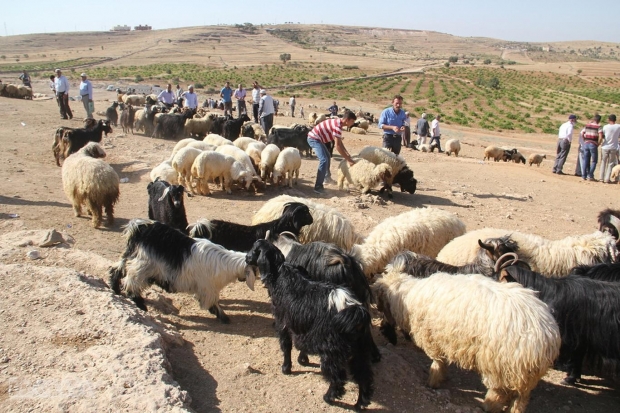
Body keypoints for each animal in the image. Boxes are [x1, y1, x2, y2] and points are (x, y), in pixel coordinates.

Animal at [108, 219, 257, 323]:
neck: (223, 263)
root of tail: (140, 227)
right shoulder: (208, 288)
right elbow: (212, 303)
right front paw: (224, 317)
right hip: (142, 266)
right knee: (131, 283)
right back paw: (140, 305)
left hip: (130, 256)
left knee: (116, 269)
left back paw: (115, 289)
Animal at [245, 240, 374, 411]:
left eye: (254, 250)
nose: (246, 258)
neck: (280, 274)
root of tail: (354, 309)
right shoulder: (302, 325)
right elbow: (301, 344)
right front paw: (303, 359)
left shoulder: (283, 322)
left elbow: (286, 345)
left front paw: (286, 368)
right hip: (360, 348)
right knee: (364, 375)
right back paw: (359, 404)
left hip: (332, 349)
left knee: (338, 378)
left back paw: (328, 397)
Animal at [373, 270, 560, 413]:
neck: (407, 297)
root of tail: (546, 337)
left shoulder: (432, 338)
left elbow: (438, 362)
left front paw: (433, 381)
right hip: (523, 374)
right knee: (521, 399)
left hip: (499, 365)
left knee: (499, 392)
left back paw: (487, 406)